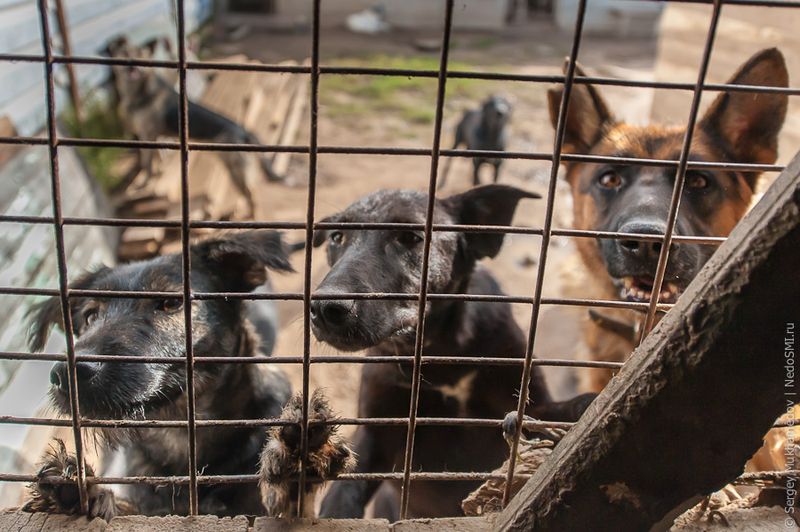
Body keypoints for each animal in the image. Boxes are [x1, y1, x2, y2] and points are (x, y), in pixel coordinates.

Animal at [310, 185, 596, 516]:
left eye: (409, 237)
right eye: (337, 237)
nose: (325, 308)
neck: (441, 358)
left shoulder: (533, 404)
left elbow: (566, 410)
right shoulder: (377, 434)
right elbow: (342, 496)